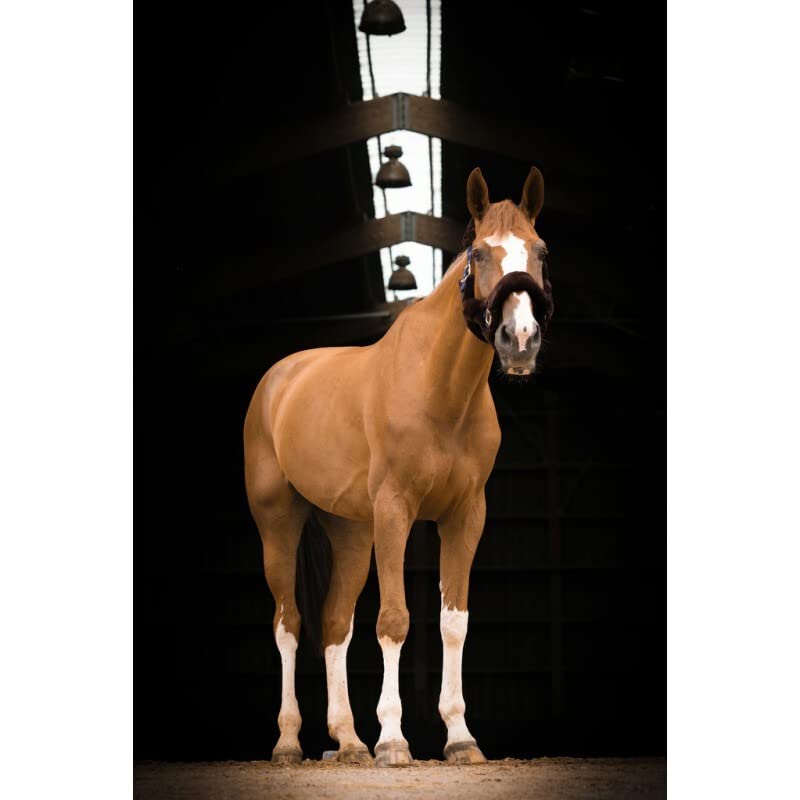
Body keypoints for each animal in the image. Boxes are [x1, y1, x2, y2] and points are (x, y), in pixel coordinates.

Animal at [243, 166, 554, 767]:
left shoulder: (465, 515)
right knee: (288, 623)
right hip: (279, 523)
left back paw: (347, 741)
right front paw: (392, 739)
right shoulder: (395, 511)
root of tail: (278, 380)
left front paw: (460, 736)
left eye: (541, 251)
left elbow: (453, 623)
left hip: (349, 531)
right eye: (479, 253)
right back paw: (290, 742)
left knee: (334, 624)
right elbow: (394, 621)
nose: (520, 341)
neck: (440, 390)